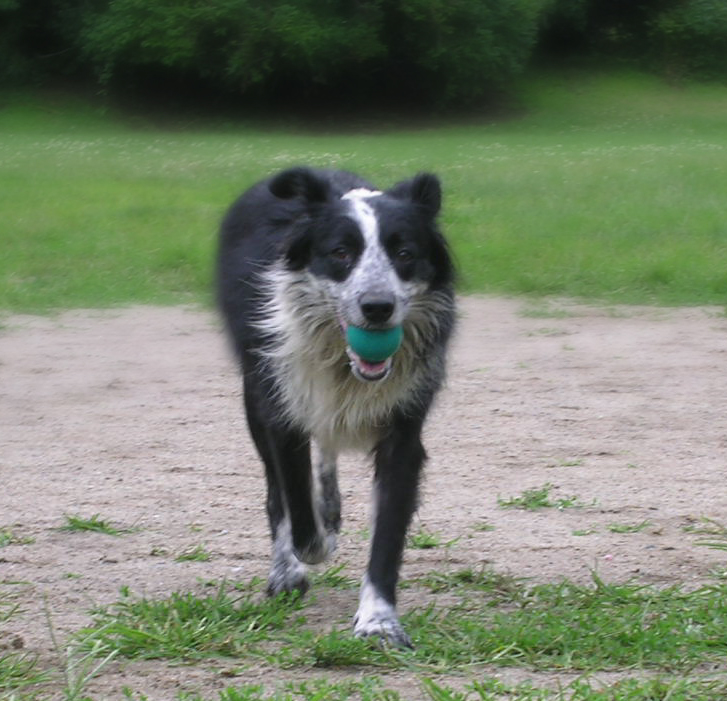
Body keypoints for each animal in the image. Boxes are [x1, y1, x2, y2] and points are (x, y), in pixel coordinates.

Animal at [216, 167, 456, 648]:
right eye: (340, 253)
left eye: (405, 253)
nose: (377, 307)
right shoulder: (282, 409)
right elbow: (296, 508)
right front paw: (313, 547)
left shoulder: (404, 429)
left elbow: (387, 534)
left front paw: (379, 621)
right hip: (255, 393)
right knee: (278, 492)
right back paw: (289, 569)